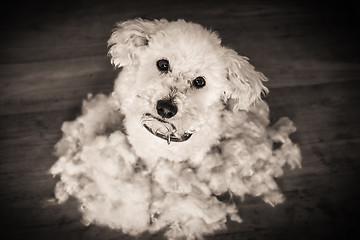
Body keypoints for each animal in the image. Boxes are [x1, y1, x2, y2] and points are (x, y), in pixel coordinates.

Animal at [49, 19, 300, 240]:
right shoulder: (147, 152)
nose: (166, 108)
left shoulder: (201, 147)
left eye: (200, 81)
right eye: (163, 64)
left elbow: (197, 161)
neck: (170, 135)